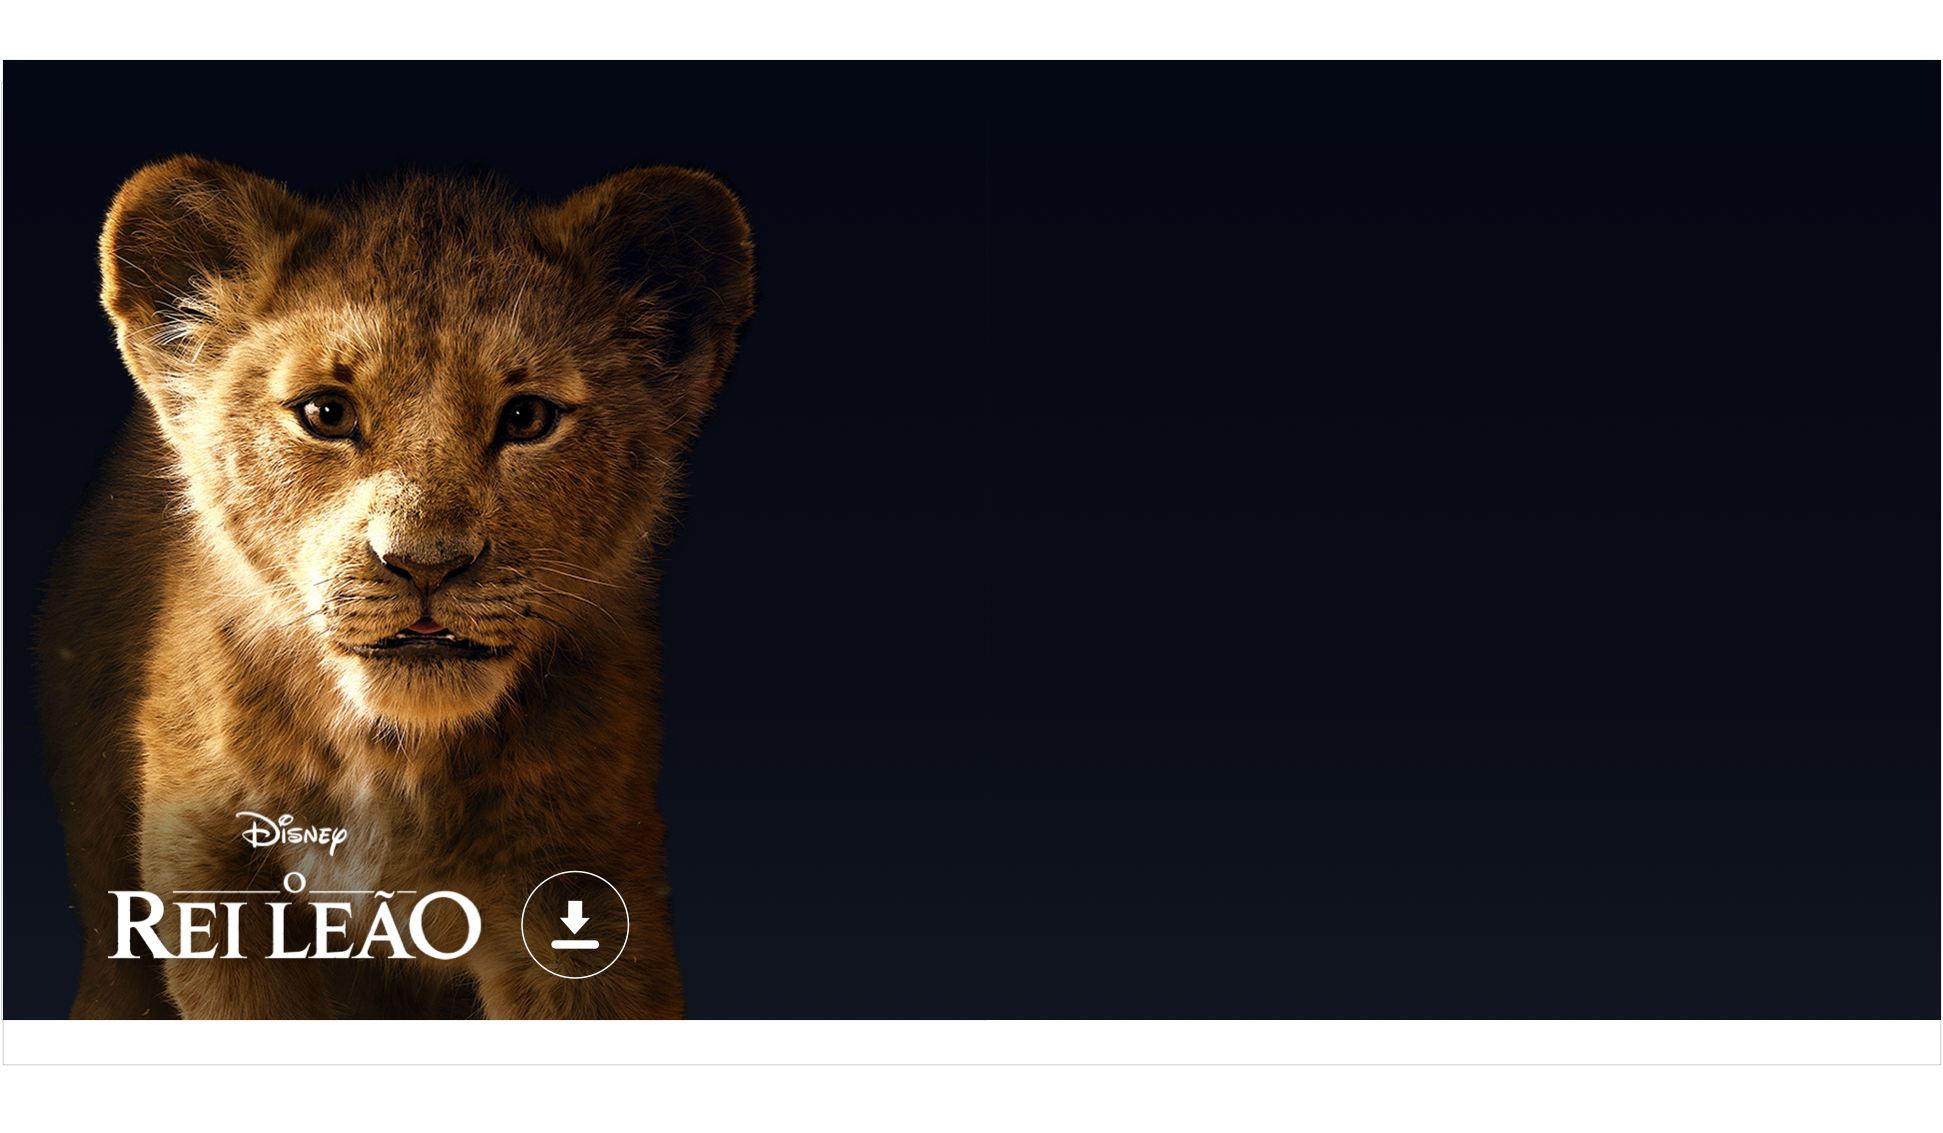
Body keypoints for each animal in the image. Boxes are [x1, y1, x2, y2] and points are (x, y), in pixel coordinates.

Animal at [38, 156, 754, 1019]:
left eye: (526, 417)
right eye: (325, 412)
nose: (425, 564)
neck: (391, 760)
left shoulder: (587, 882)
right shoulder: (205, 861)